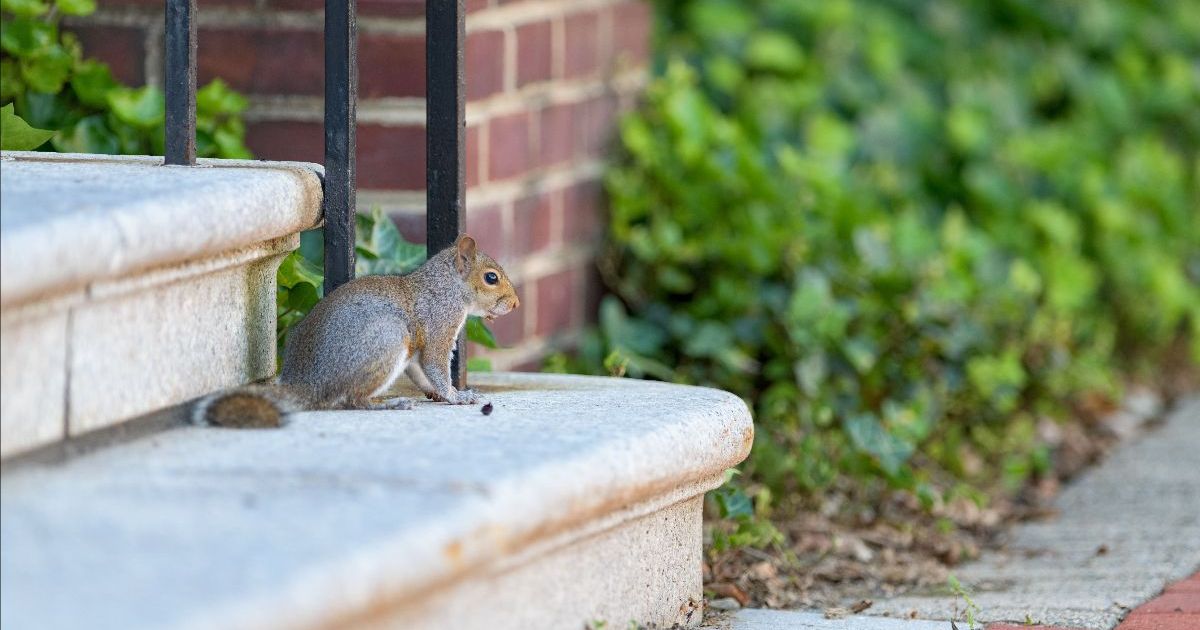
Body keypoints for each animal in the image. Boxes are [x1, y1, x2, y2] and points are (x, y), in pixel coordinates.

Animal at [192, 232, 520, 429]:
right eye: (491, 278)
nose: (516, 304)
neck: (446, 287)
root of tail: (311, 384)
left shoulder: (416, 351)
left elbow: (420, 372)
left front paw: (436, 394)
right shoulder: (439, 324)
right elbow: (436, 366)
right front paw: (456, 396)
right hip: (387, 339)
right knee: (351, 399)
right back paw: (388, 404)